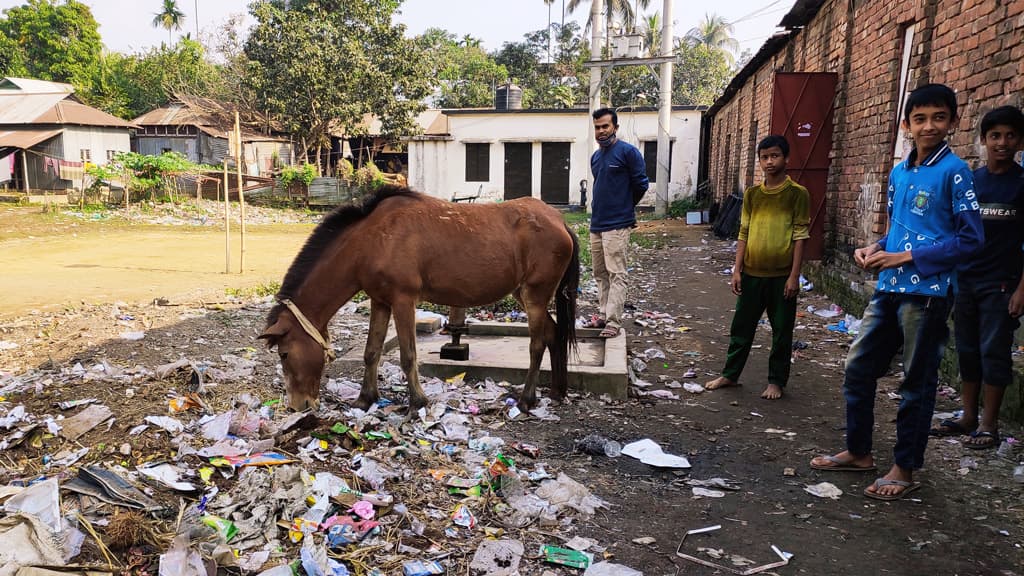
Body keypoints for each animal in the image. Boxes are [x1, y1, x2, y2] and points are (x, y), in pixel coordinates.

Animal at [260, 183, 581, 407]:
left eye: (285, 353)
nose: (298, 405)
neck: (371, 240)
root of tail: (559, 221)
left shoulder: (403, 300)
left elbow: (408, 355)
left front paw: (417, 401)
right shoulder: (380, 301)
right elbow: (371, 352)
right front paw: (365, 398)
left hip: (535, 295)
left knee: (537, 344)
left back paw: (527, 399)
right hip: (524, 295)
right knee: (553, 333)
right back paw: (556, 391)